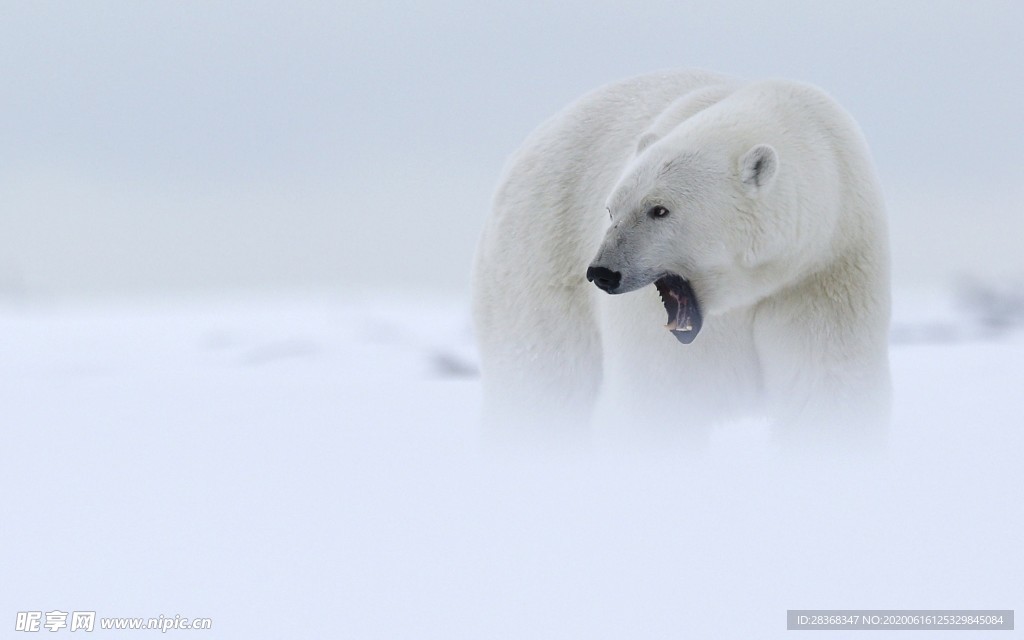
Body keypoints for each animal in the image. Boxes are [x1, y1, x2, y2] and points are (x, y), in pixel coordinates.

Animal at [471, 67, 888, 442]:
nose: (603, 272)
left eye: (659, 209)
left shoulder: (826, 272)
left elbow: (824, 385)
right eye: (611, 210)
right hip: (538, 257)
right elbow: (665, 396)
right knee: (542, 377)